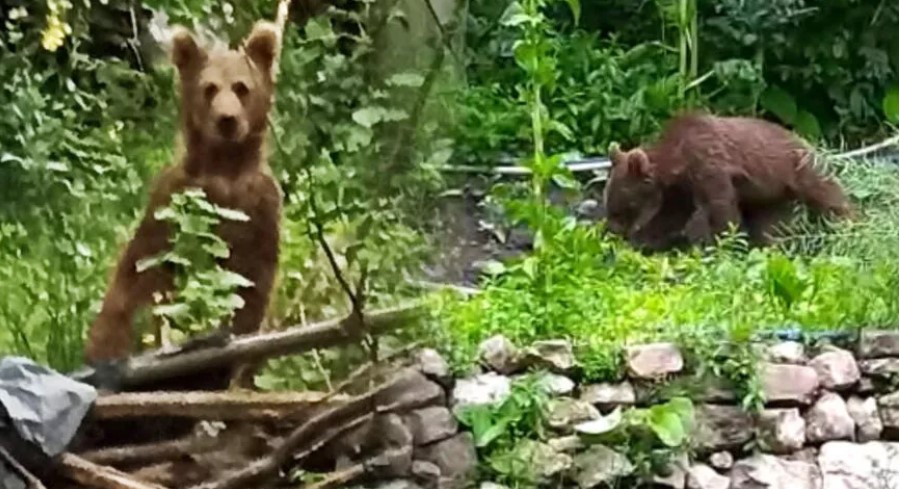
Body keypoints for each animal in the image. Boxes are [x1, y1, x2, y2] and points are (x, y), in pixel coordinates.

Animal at [85, 21, 284, 388]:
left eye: (241, 87)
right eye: (209, 88)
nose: (226, 119)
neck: (224, 169)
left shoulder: (261, 208)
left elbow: (251, 288)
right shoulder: (170, 201)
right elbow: (139, 277)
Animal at [604, 111, 852, 248]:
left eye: (622, 204)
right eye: (609, 201)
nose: (612, 230)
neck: (678, 161)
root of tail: (809, 141)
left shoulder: (710, 166)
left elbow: (722, 211)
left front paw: (719, 245)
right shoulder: (681, 189)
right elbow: (670, 216)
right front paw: (645, 242)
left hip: (799, 169)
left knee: (829, 197)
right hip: (770, 196)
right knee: (770, 225)